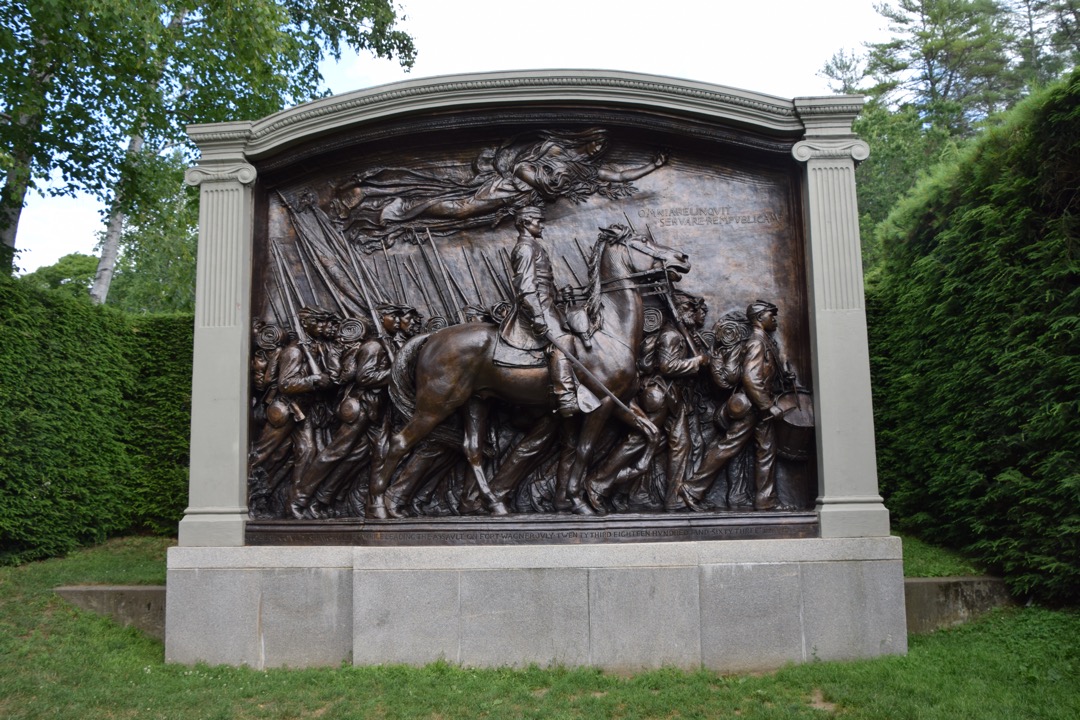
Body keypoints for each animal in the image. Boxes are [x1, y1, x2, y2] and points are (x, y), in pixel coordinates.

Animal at [369, 223, 691, 518]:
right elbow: (585, 451)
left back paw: (495, 504)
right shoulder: (602, 404)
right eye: (644, 241)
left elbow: (651, 434)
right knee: (399, 443)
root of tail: (431, 338)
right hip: (436, 404)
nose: (683, 258)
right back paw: (381, 506)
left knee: (471, 449)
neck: (609, 331)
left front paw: (613, 483)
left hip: (475, 401)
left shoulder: (621, 401)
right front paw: (581, 500)